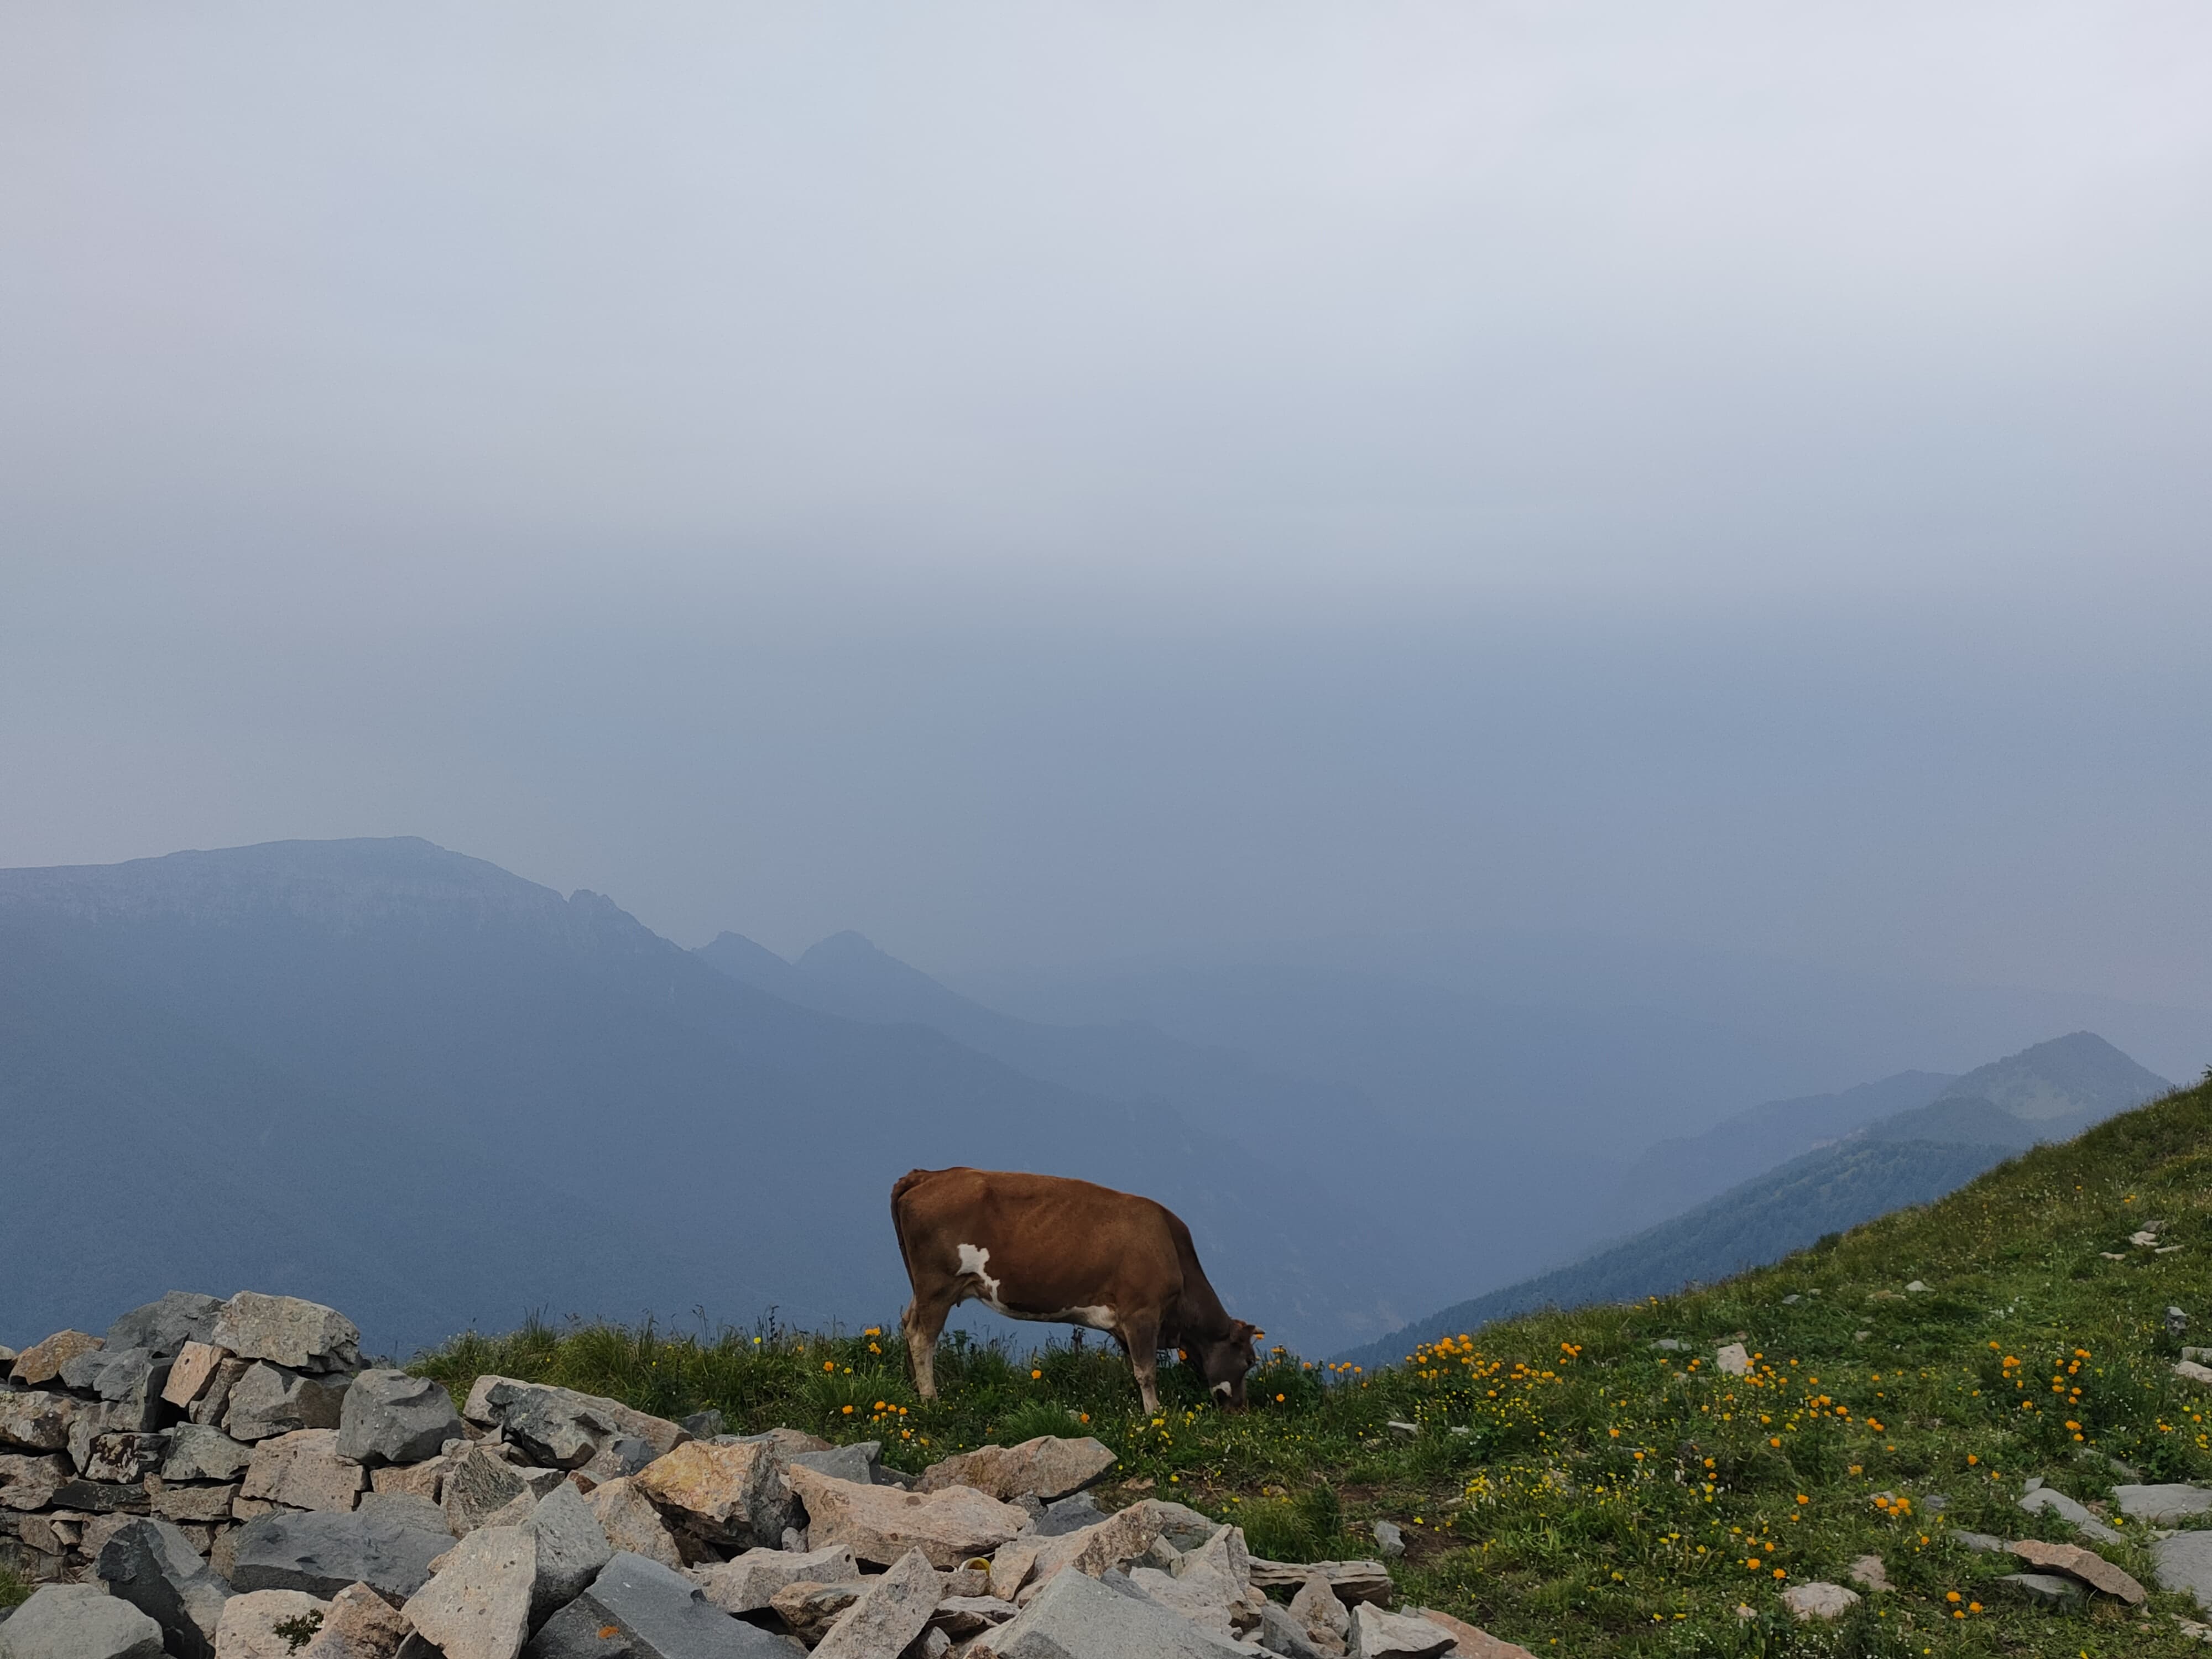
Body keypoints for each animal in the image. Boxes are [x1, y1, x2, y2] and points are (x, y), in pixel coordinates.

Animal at [885, 1168, 1265, 1416]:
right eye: (1250, 1361)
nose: (1241, 1408)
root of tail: (929, 1175)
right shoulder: (1142, 1312)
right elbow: (1146, 1371)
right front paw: (1155, 1415)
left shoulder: (1126, 1324)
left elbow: (1134, 1367)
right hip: (938, 1284)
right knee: (922, 1335)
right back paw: (930, 1398)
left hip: (926, 1286)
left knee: (907, 1321)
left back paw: (914, 1384)